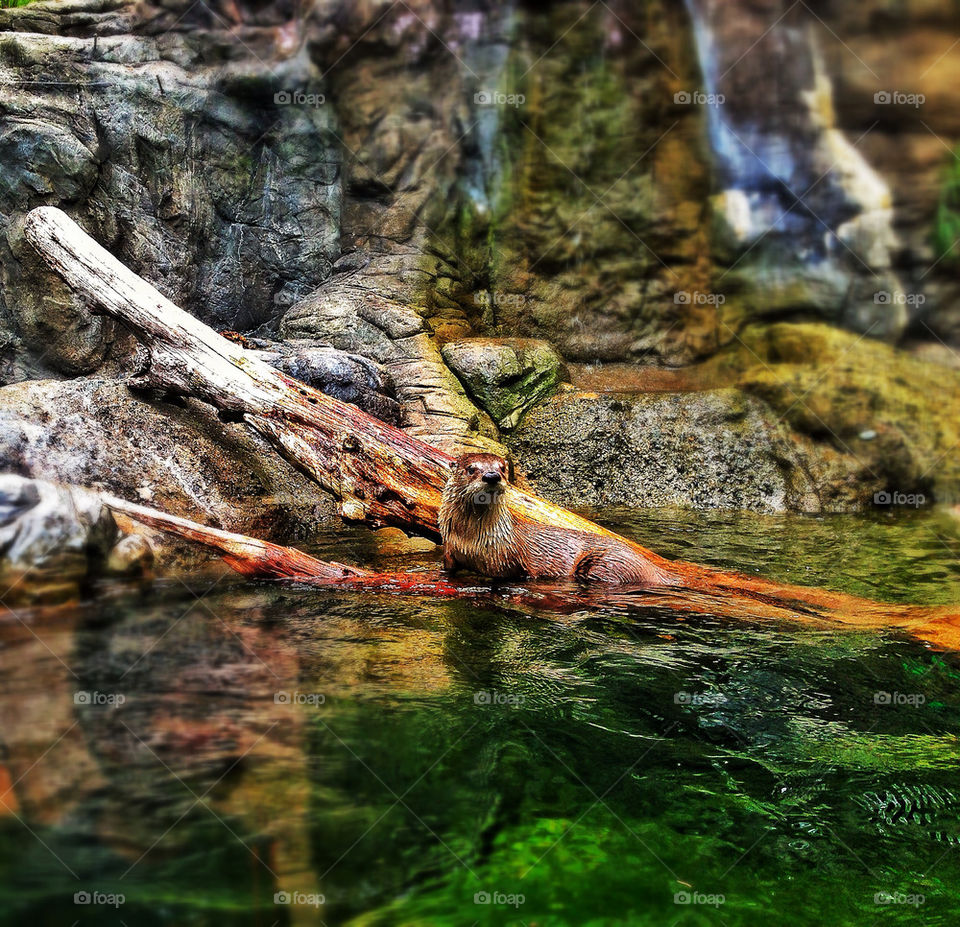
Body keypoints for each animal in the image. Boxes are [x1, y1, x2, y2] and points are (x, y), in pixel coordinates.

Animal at [440, 452, 676, 588]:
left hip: (610, 564)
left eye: (503, 468)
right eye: (471, 469)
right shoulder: (449, 550)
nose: (491, 476)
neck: (472, 540)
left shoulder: (511, 560)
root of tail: (655, 569)